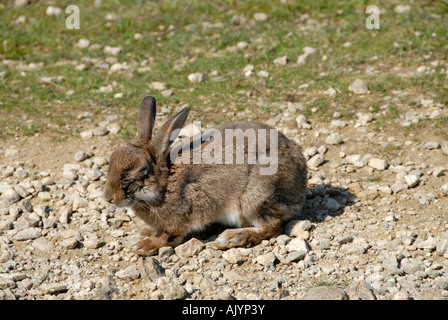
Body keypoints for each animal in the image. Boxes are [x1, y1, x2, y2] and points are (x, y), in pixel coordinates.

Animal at [103, 95, 308, 255]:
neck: (166, 183)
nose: (108, 198)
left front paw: (144, 246)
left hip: (255, 198)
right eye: (111, 162)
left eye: (141, 172)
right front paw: (144, 232)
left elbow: (168, 236)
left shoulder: (184, 214)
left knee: (273, 227)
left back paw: (232, 237)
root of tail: (301, 183)